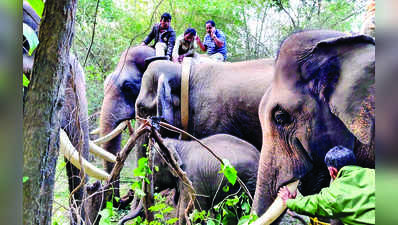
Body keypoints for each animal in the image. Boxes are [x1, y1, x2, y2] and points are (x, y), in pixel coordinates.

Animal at [119, 134, 260, 224]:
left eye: (153, 169)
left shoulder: (192, 180)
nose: (121, 222)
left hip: (246, 183)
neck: (179, 145)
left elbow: (191, 210)